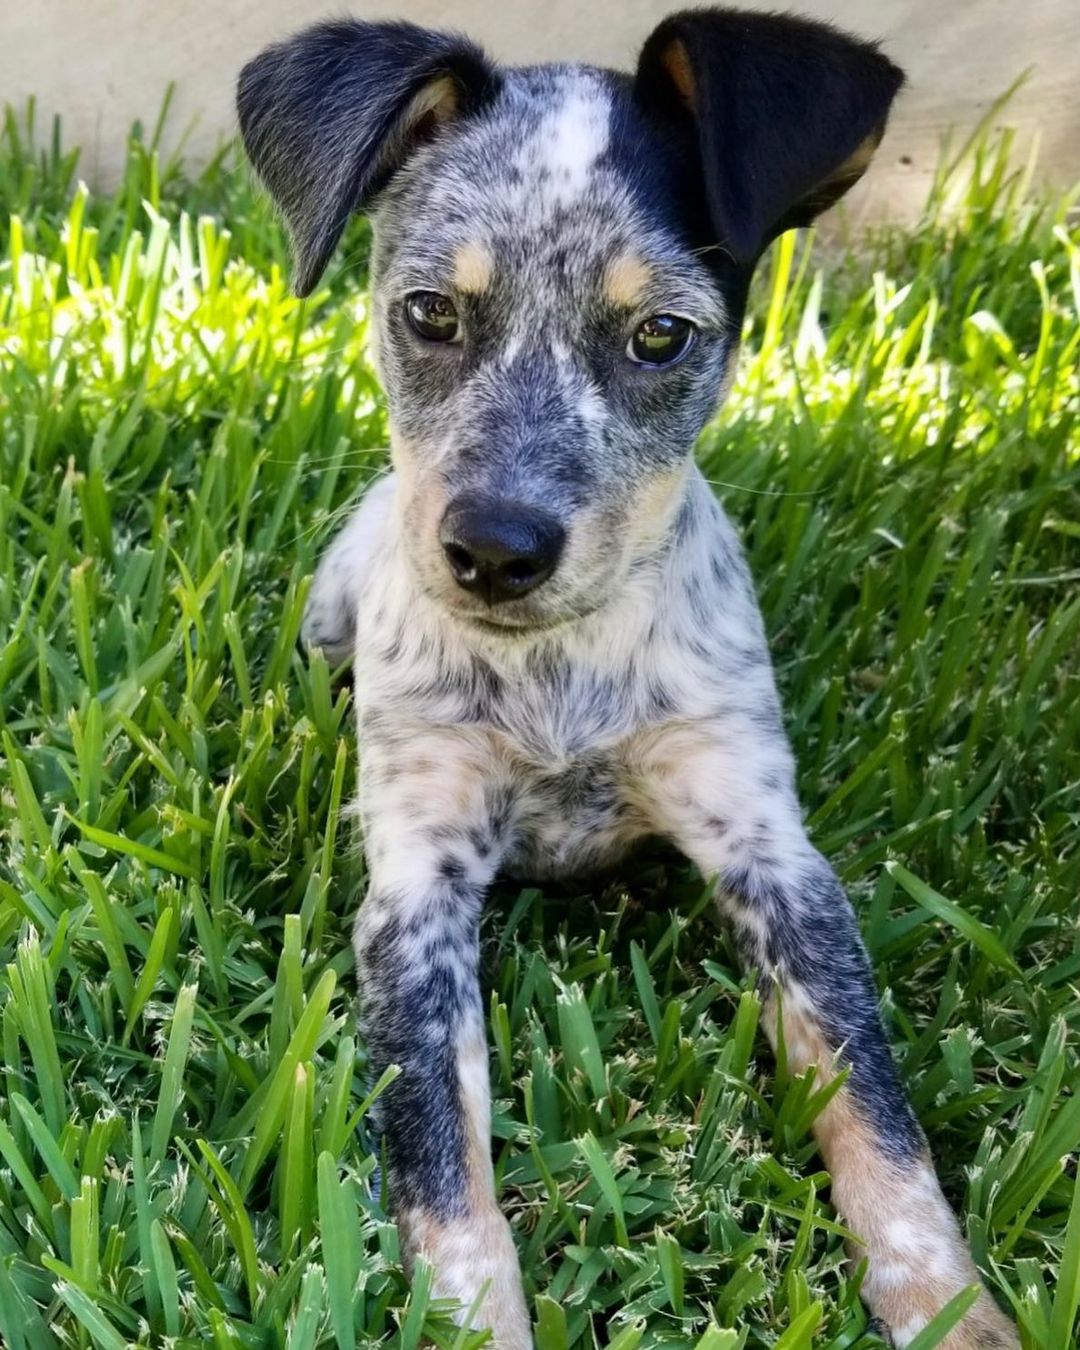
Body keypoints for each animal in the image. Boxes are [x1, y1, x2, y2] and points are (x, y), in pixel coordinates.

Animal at [238, 13, 1020, 1350]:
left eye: (661, 335)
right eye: (430, 312)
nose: (494, 549)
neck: (562, 666)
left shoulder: (771, 854)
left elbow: (874, 1104)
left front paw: (951, 1309)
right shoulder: (417, 890)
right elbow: (442, 1163)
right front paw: (478, 1323)